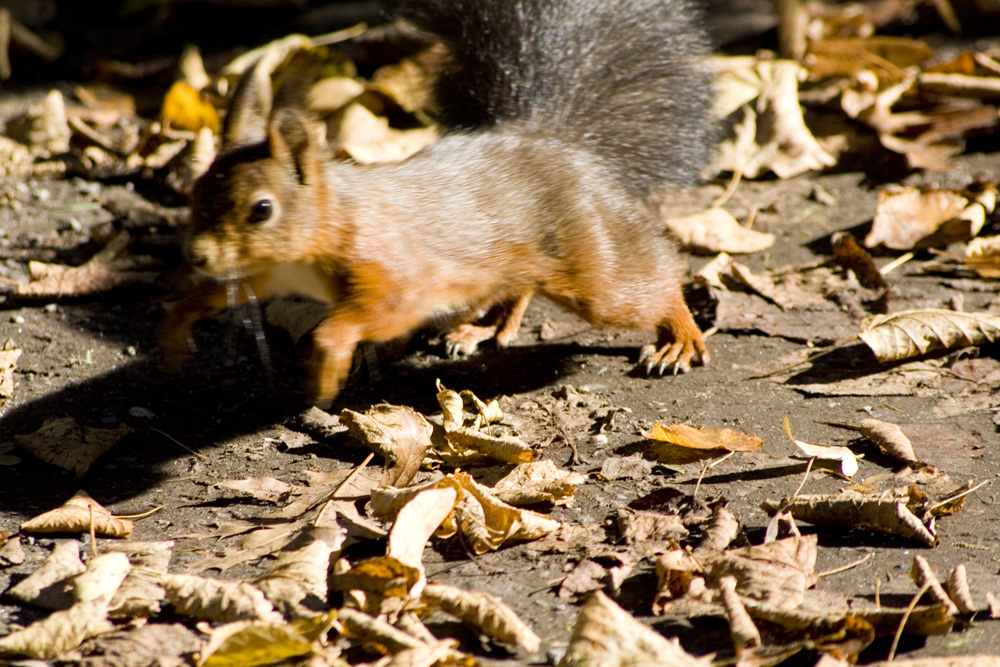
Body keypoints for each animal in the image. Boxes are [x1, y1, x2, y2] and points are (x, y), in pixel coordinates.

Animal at [160, 0, 716, 408]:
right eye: (197, 190)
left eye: (262, 209)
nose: (195, 255)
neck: (331, 220)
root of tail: (551, 140)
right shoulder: (273, 272)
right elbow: (227, 292)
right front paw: (178, 323)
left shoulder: (395, 273)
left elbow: (368, 316)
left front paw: (327, 366)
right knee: (517, 288)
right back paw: (482, 328)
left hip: (589, 266)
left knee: (651, 282)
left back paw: (678, 338)